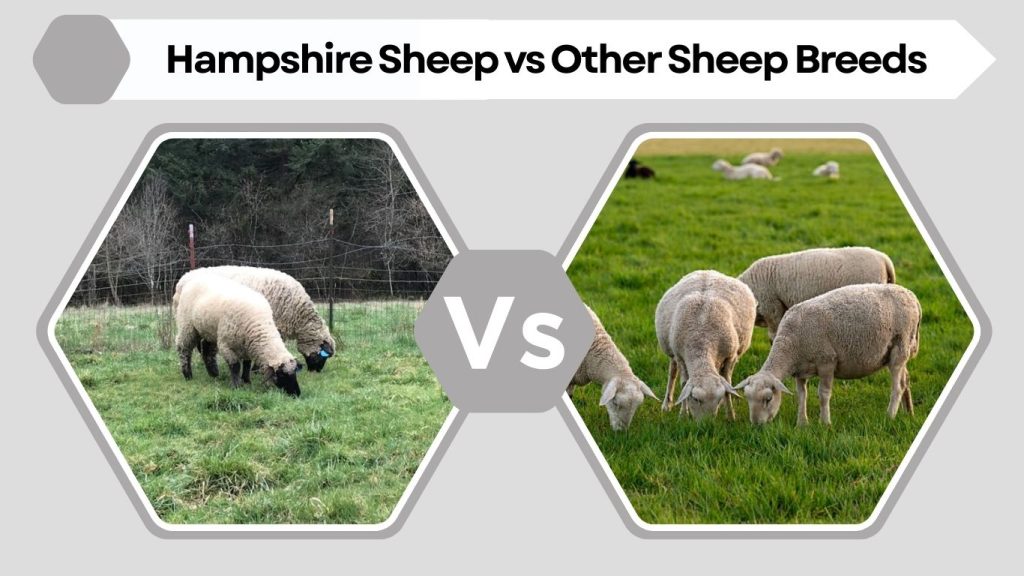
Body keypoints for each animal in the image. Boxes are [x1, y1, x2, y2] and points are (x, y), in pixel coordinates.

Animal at [176, 266, 336, 373]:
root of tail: (183, 278)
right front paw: (257, 369)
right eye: (323, 356)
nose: (316, 372)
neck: (297, 313)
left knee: (205, 347)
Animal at [655, 270, 756, 420]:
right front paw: (683, 414)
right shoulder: (680, 356)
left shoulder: (730, 357)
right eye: (695, 399)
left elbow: (727, 385)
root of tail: (708, 271)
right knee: (672, 373)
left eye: (717, 399)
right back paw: (667, 404)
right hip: (671, 351)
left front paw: (730, 415)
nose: (706, 423)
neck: (702, 340)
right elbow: (683, 383)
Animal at [735, 283, 921, 425]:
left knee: (898, 386)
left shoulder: (827, 361)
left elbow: (823, 394)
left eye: (768, 399)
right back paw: (909, 412)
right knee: (906, 380)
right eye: (748, 398)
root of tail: (912, 297)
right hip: (900, 352)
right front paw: (802, 423)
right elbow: (801, 395)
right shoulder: (800, 370)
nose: (756, 425)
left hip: (900, 347)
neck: (790, 345)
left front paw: (825, 422)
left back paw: (890, 416)